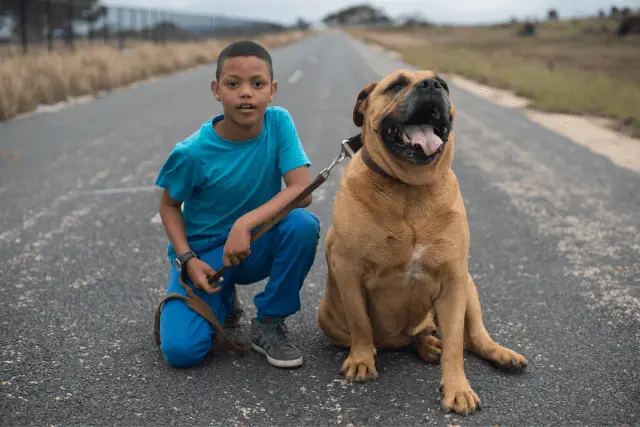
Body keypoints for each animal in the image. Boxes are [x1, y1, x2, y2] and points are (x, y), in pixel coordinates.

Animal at [316, 69, 528, 414]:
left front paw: (458, 389)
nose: (432, 85)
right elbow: (360, 321)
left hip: (469, 285)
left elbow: (455, 345)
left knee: (474, 337)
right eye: (396, 85)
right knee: (390, 337)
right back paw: (421, 344)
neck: (409, 189)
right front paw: (361, 360)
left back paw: (497, 353)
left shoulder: (454, 280)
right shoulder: (348, 269)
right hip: (328, 316)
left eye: (444, 84)